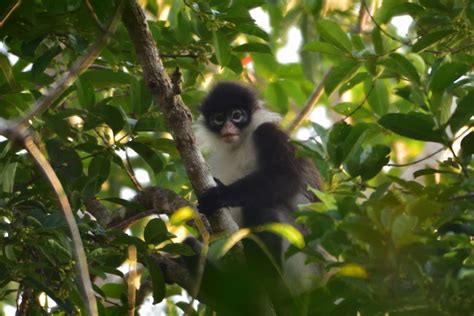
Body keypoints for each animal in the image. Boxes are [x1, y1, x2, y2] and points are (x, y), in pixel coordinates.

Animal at [193, 81, 322, 314]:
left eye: (237, 115)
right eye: (218, 118)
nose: (228, 128)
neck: (238, 145)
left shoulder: (267, 132)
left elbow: (286, 178)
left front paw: (221, 195)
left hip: (301, 255)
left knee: (260, 208)